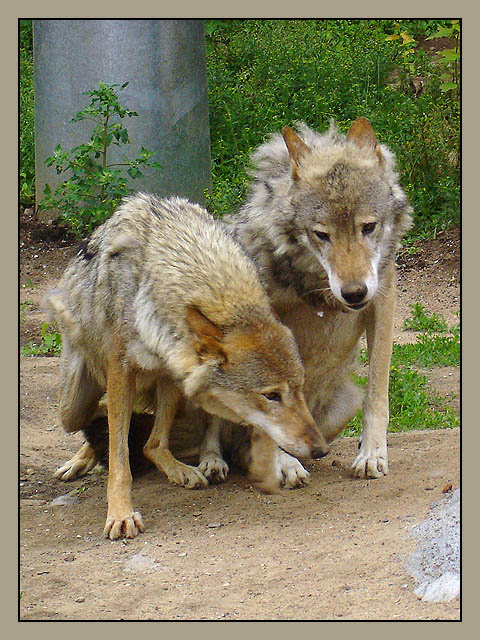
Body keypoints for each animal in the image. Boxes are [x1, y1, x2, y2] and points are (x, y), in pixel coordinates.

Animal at [46, 194, 328, 539]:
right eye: (271, 395)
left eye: (299, 388)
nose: (321, 449)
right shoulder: (121, 371)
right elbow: (120, 459)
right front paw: (120, 513)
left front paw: (283, 462)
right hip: (73, 406)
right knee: (101, 418)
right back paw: (80, 460)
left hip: (172, 384)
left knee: (152, 443)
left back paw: (179, 470)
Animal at [197, 118, 413, 486]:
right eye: (321, 234)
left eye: (368, 227)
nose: (354, 292)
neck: (318, 285)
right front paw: (284, 463)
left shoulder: (382, 300)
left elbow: (377, 395)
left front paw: (372, 455)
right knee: (217, 433)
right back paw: (214, 462)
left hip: (344, 404)